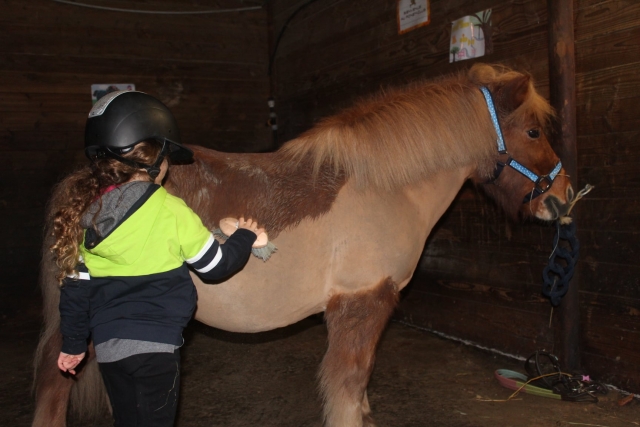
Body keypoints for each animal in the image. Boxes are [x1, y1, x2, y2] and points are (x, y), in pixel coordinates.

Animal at [32, 63, 574, 427]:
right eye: (532, 130)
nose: (563, 198)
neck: (382, 189)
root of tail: (85, 181)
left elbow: (359, 389)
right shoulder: (362, 304)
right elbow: (348, 385)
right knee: (52, 384)